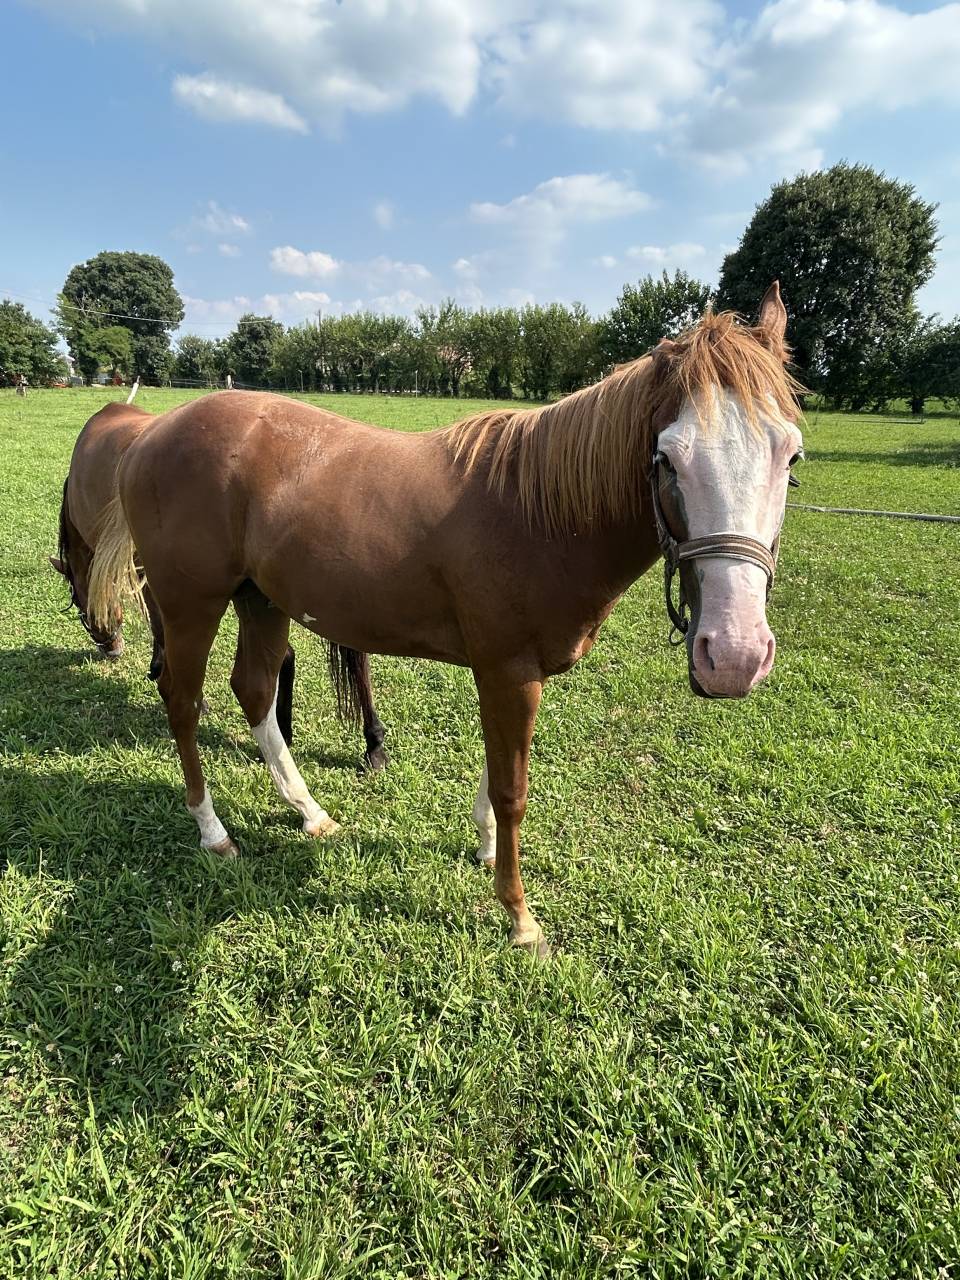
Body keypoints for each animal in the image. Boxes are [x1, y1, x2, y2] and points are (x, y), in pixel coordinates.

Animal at [88, 285, 803, 956]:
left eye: (791, 459)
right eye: (667, 458)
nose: (734, 656)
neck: (539, 511)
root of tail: (151, 433)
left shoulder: (507, 676)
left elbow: (495, 773)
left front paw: (485, 851)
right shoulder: (509, 672)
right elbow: (513, 790)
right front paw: (519, 918)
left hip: (261, 601)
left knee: (255, 690)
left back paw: (310, 813)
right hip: (192, 604)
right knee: (183, 702)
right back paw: (213, 832)